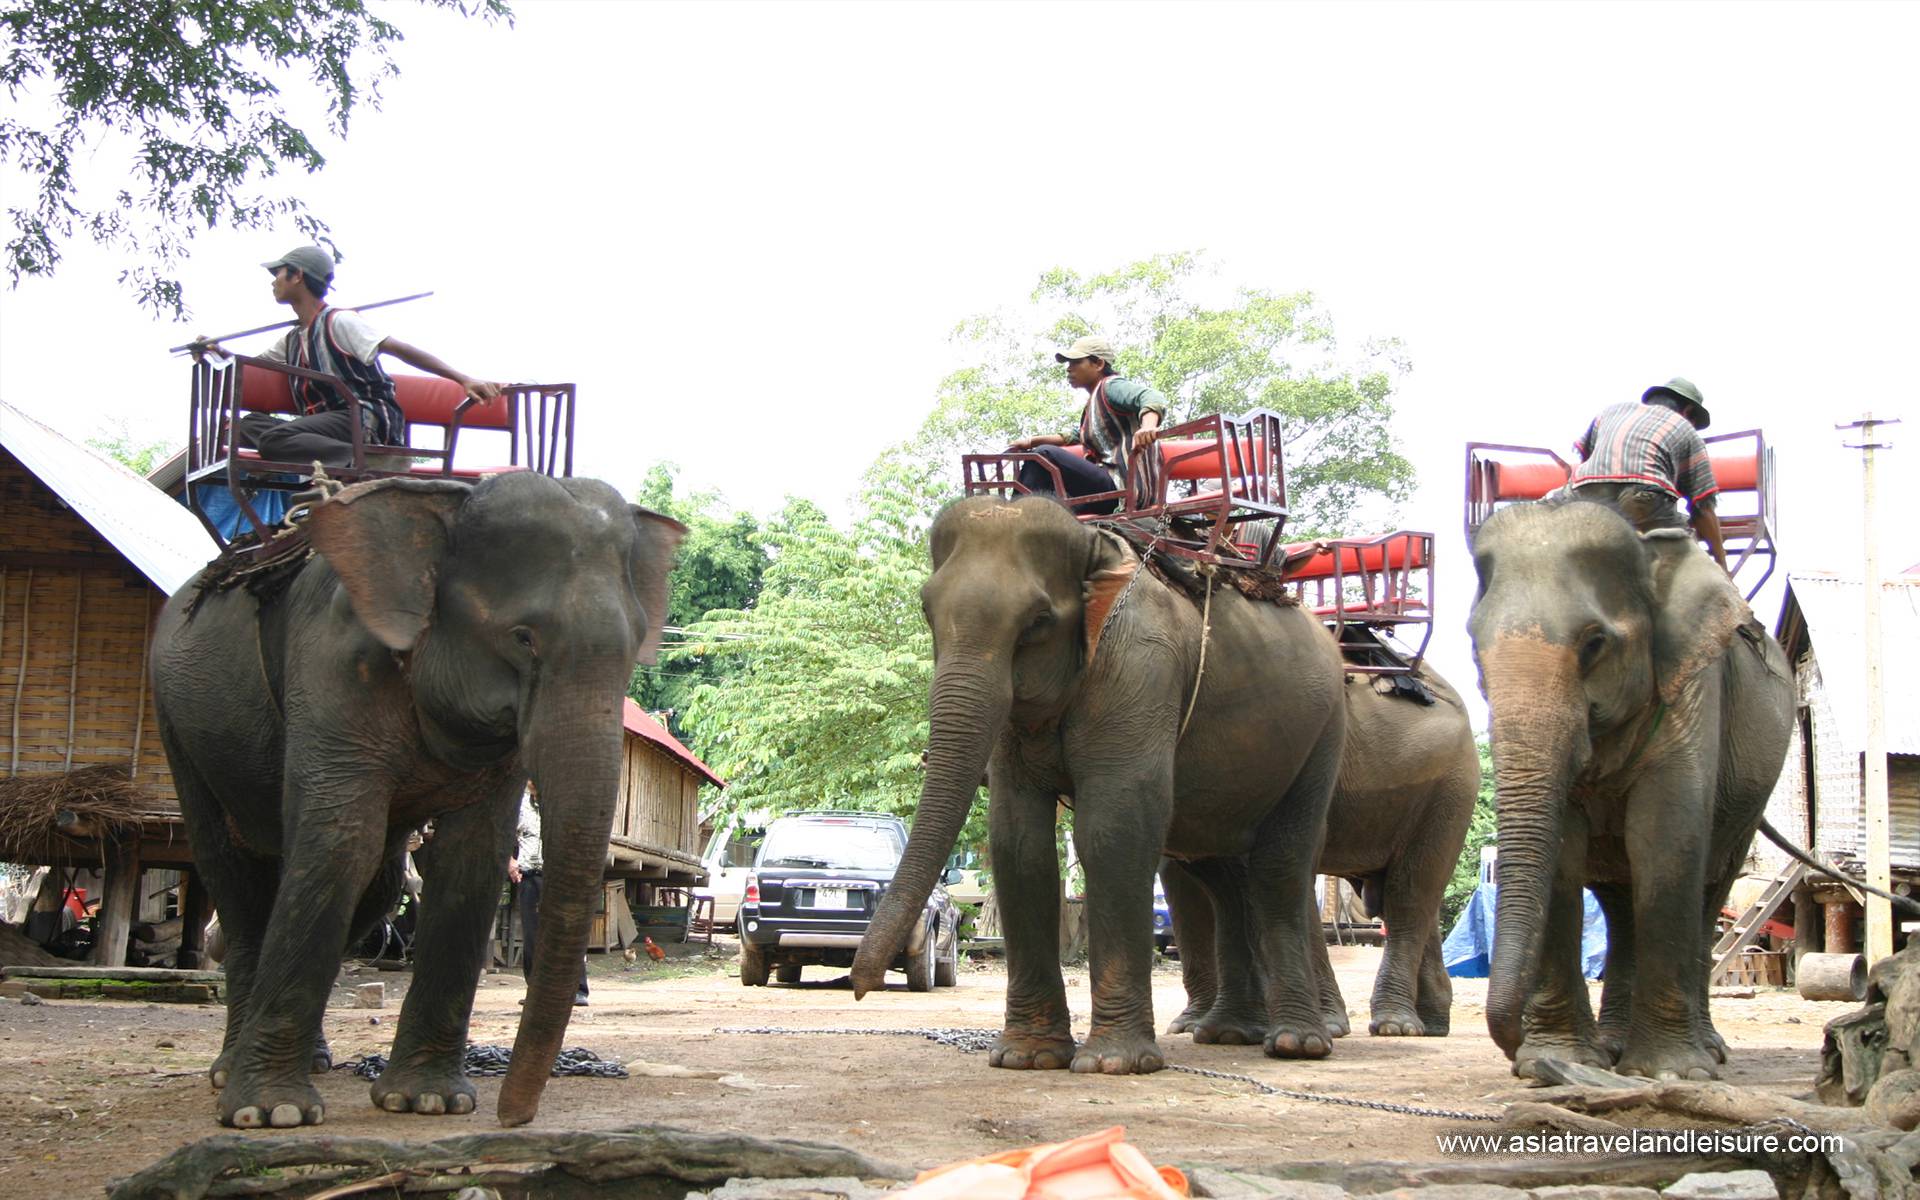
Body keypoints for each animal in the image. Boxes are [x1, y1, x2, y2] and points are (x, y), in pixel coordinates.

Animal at [153, 470, 687, 1121]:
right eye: (523, 638)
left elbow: (471, 860)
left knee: (377, 885)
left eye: (636, 646)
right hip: (178, 721)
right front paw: (273, 1113)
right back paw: (235, 1071)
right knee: (233, 867)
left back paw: (315, 1058)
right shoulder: (333, 666)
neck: (445, 505)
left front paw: (429, 1101)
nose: (512, 1115)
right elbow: (338, 845)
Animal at [848, 491, 1344, 1075]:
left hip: (1323, 734)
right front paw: (1028, 1057)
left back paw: (1297, 1043)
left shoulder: (1140, 663)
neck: (1092, 545)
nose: (861, 987)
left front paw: (1114, 1063)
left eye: (1038, 621)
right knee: (1222, 872)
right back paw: (1230, 1033)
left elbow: (1113, 831)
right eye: (927, 612)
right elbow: (1018, 842)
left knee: (1279, 866)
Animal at [1152, 664, 1482, 1036]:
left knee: (1410, 894)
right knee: (1412, 896)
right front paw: (1190, 1025)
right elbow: (1182, 882)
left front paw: (1323, 1026)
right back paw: (1432, 1024)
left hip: (1451, 788)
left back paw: (1395, 1025)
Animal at [1459, 495, 1789, 1075]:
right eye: (1476, 649)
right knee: (1619, 901)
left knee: (1711, 887)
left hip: (1751, 799)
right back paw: (1613, 1046)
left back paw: (1708, 1050)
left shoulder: (1692, 687)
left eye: (1594, 644)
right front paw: (1559, 1063)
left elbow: (1665, 837)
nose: (1515, 1049)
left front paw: (1671, 1072)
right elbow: (1565, 853)